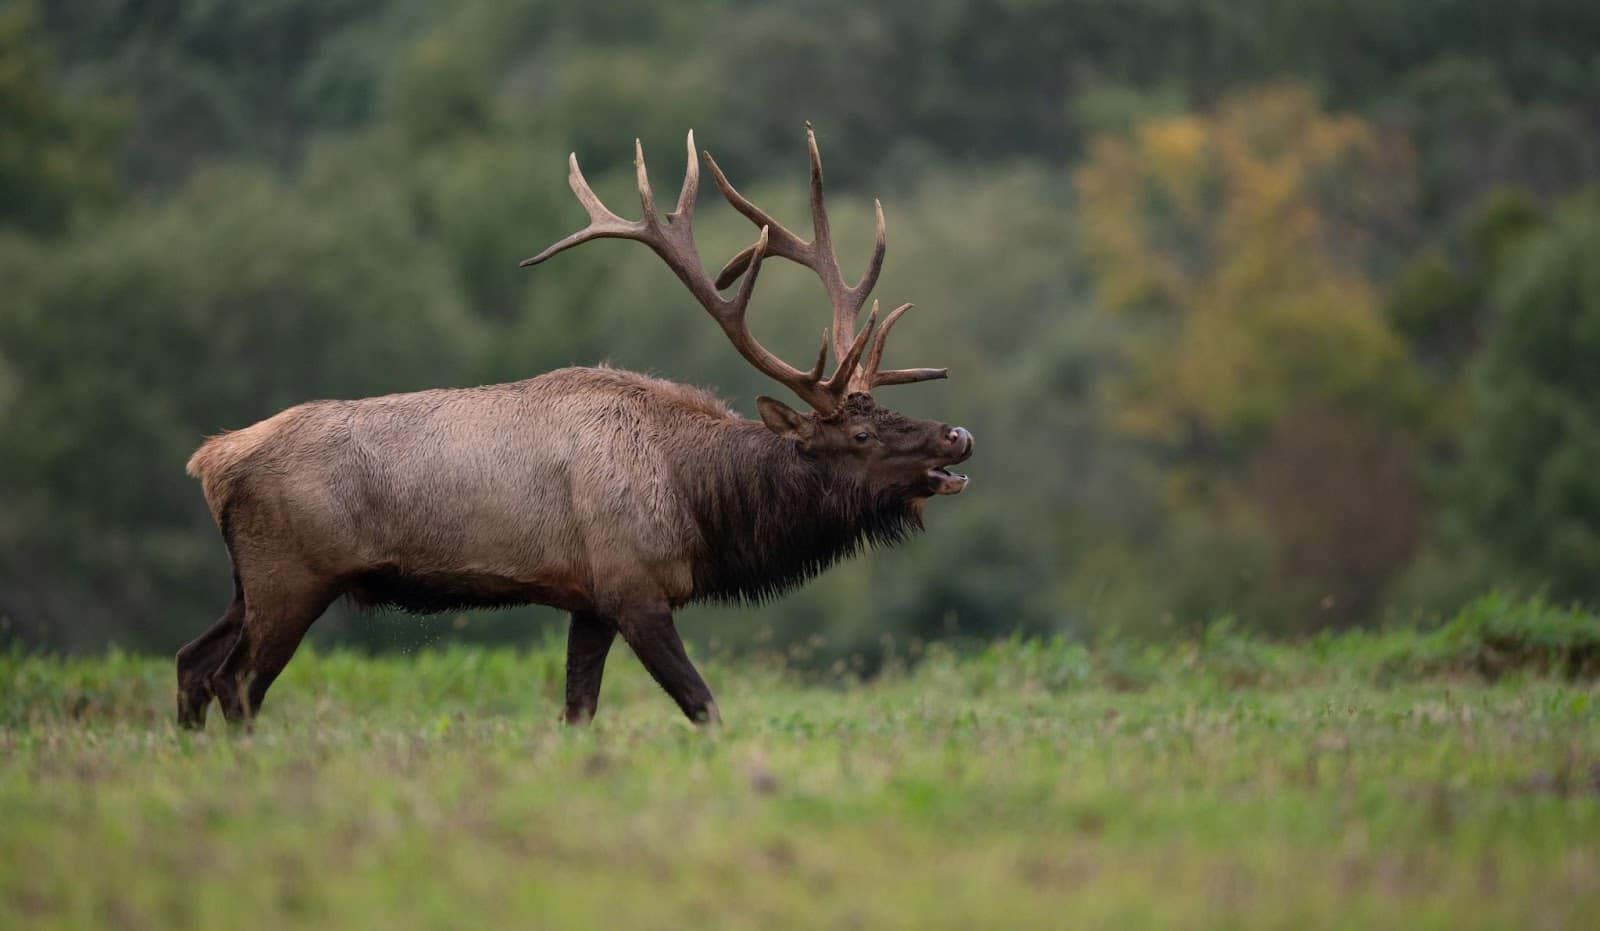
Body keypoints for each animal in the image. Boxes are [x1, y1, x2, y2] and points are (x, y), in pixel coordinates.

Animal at [176, 125, 973, 728]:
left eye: (888, 413)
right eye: (860, 437)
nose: (957, 437)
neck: (698, 501)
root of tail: (210, 461)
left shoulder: (588, 602)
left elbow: (577, 712)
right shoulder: (634, 585)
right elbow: (704, 705)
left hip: (251, 580)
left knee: (192, 662)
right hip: (291, 575)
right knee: (236, 683)